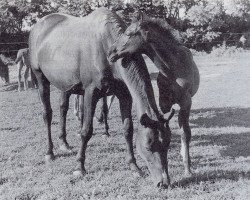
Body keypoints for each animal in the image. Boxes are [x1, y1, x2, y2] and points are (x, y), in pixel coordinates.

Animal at [28, 7, 174, 188]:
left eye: (167, 144)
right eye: (148, 146)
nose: (164, 182)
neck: (106, 45)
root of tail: (37, 26)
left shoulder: (124, 95)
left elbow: (128, 129)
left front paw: (134, 166)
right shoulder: (91, 92)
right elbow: (86, 131)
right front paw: (79, 166)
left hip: (64, 84)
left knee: (63, 109)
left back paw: (64, 144)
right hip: (41, 78)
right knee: (47, 114)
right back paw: (50, 152)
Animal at [108, 12, 200, 177]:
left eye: (128, 33)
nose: (110, 52)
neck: (174, 69)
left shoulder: (186, 102)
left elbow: (185, 133)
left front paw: (187, 169)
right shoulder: (163, 103)